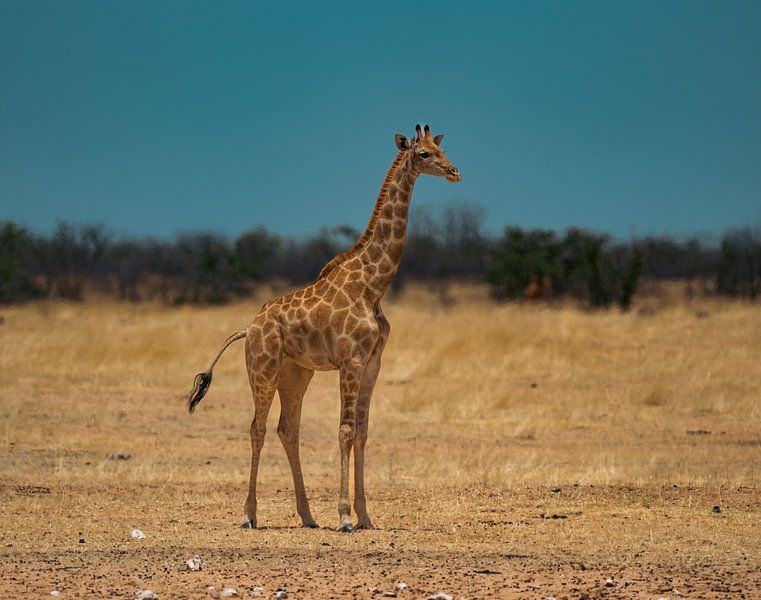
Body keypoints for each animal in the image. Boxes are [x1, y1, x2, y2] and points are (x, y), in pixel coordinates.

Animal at [187, 124, 461, 531]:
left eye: (441, 148)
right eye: (424, 154)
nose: (455, 172)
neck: (373, 285)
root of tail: (248, 328)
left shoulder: (372, 363)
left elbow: (362, 430)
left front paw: (365, 516)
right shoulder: (350, 361)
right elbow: (345, 430)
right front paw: (346, 516)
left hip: (296, 373)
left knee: (288, 429)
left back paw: (307, 515)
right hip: (263, 369)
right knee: (257, 427)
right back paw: (250, 515)